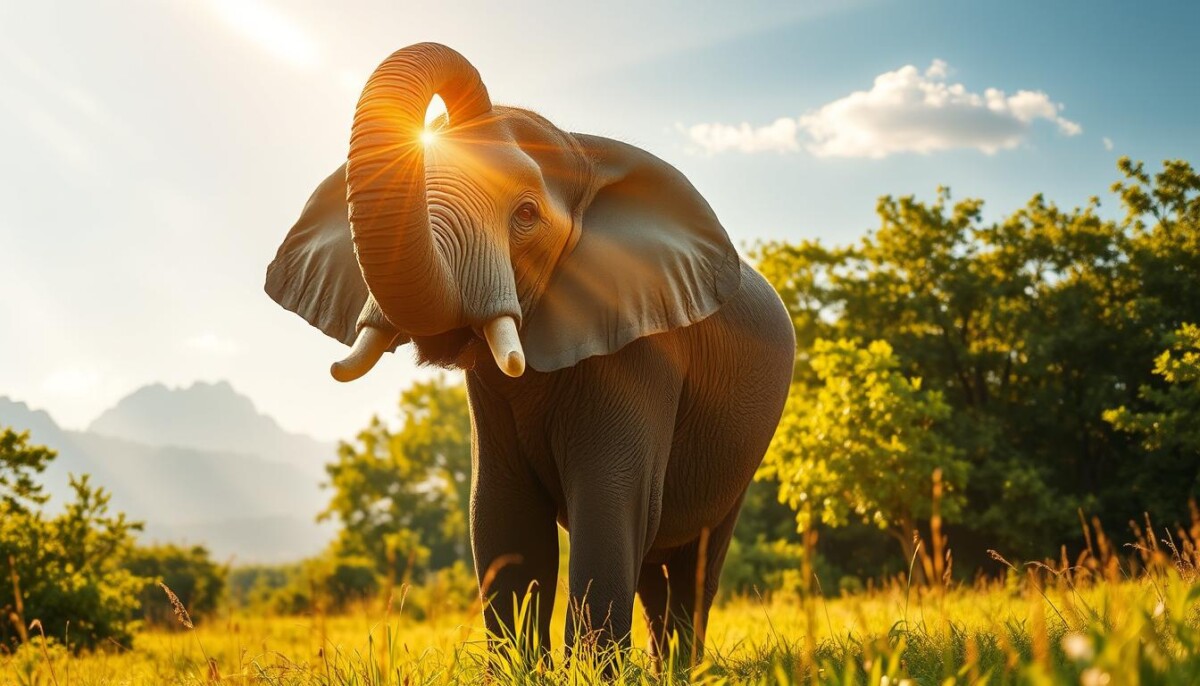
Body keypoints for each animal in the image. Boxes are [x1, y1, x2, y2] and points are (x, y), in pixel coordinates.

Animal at [264, 42, 795, 662]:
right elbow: (503, 517)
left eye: (525, 215)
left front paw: (594, 670)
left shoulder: (645, 355)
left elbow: (609, 509)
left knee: (692, 564)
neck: (576, 148)